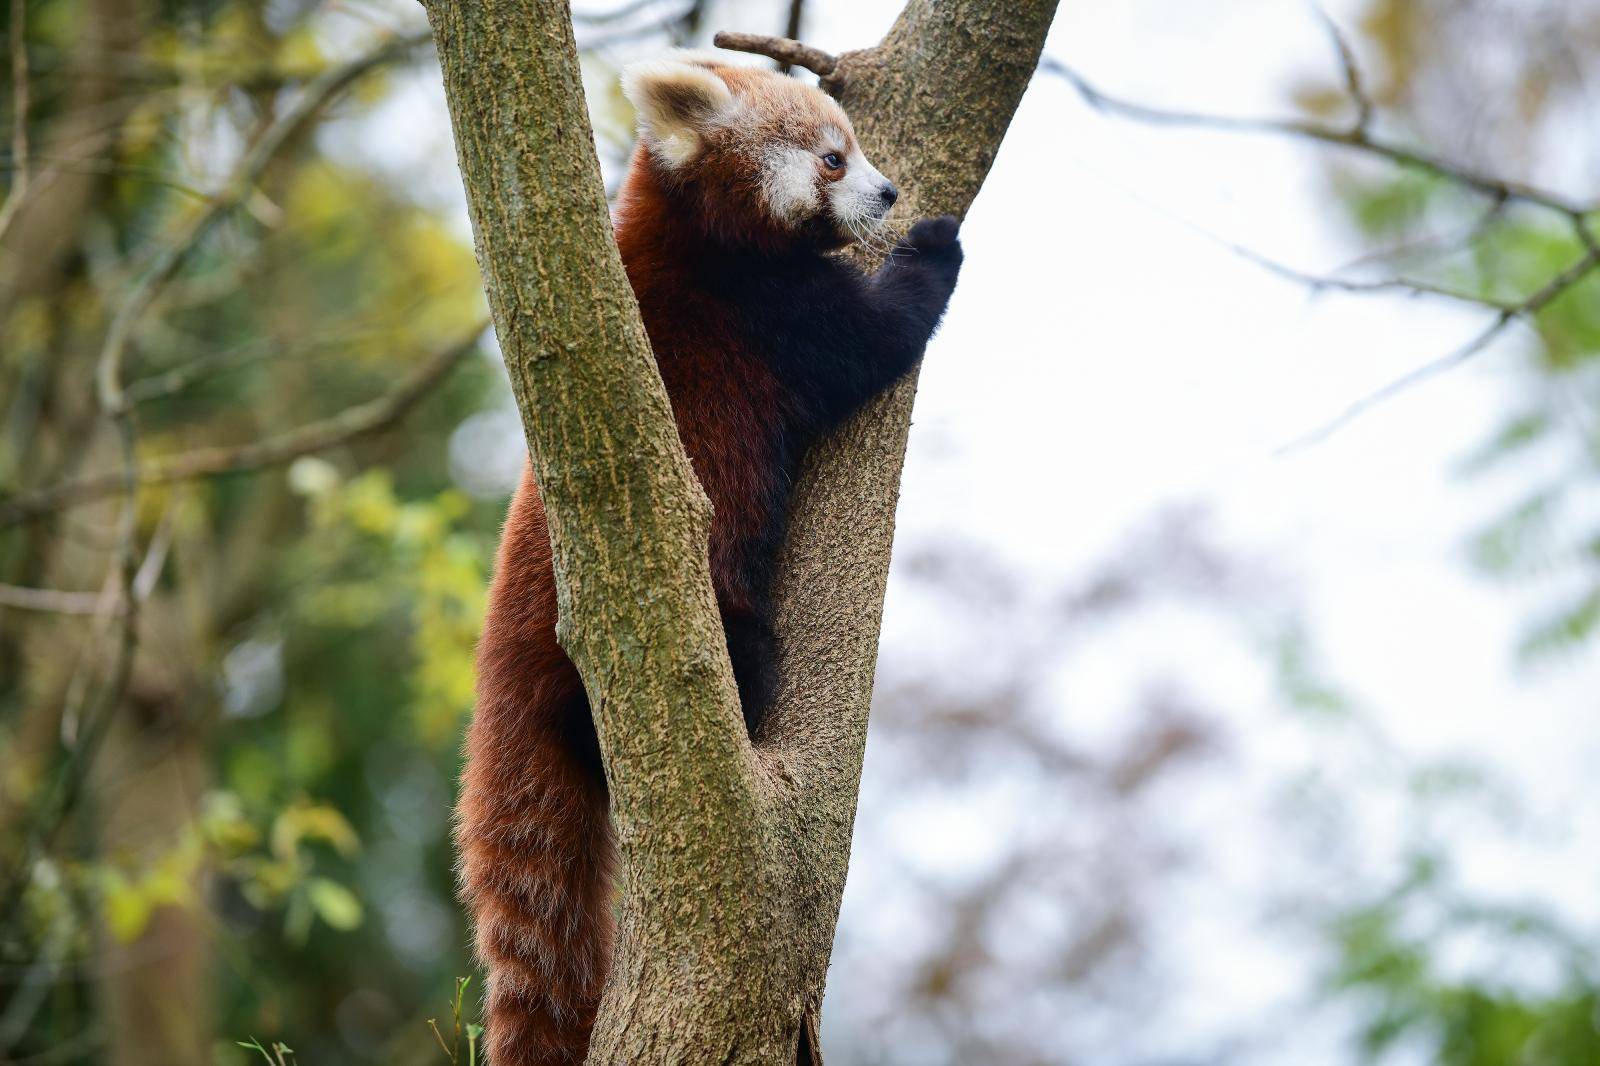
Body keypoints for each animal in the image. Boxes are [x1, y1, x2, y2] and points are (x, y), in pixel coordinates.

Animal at [457, 54, 966, 1056]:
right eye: (833, 158)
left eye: (855, 146)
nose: (891, 191)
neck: (692, 233)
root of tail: (501, 677)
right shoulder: (763, 316)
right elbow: (877, 338)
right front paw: (936, 249)